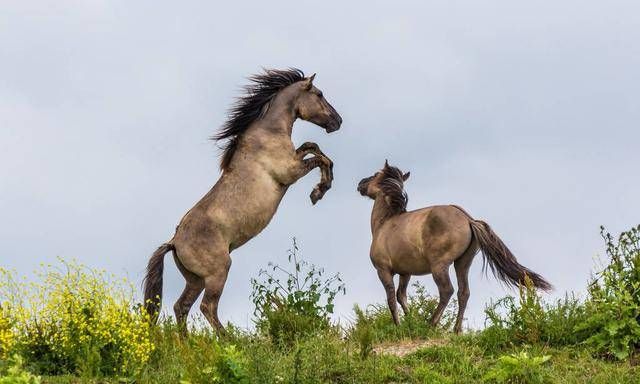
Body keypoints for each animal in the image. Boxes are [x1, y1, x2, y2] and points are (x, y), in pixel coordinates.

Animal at [143, 68, 342, 330]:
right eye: (319, 94)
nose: (337, 121)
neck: (266, 134)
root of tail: (174, 241)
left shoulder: (294, 159)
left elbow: (312, 147)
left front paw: (321, 186)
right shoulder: (290, 172)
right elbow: (320, 158)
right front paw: (319, 191)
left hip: (195, 279)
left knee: (181, 307)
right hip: (218, 272)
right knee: (207, 307)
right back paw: (229, 337)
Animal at [358, 160, 552, 332]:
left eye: (375, 174)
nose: (360, 184)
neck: (385, 223)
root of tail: (468, 219)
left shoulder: (384, 270)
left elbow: (391, 299)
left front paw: (399, 327)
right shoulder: (405, 273)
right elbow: (401, 297)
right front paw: (411, 322)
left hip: (439, 266)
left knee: (447, 291)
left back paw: (431, 325)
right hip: (462, 263)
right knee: (463, 292)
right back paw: (456, 330)